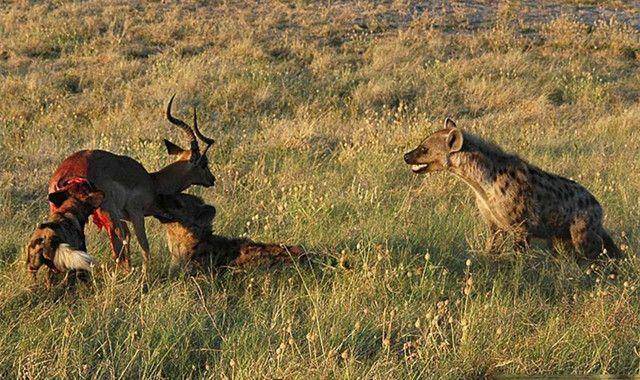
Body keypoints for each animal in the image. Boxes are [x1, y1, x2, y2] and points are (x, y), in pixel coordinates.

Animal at [404, 119, 620, 260]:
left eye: (424, 149)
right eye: (421, 144)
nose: (406, 156)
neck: (481, 184)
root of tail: (598, 206)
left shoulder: (521, 226)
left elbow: (518, 256)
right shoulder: (494, 223)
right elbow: (492, 246)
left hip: (581, 231)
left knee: (592, 252)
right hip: (560, 236)